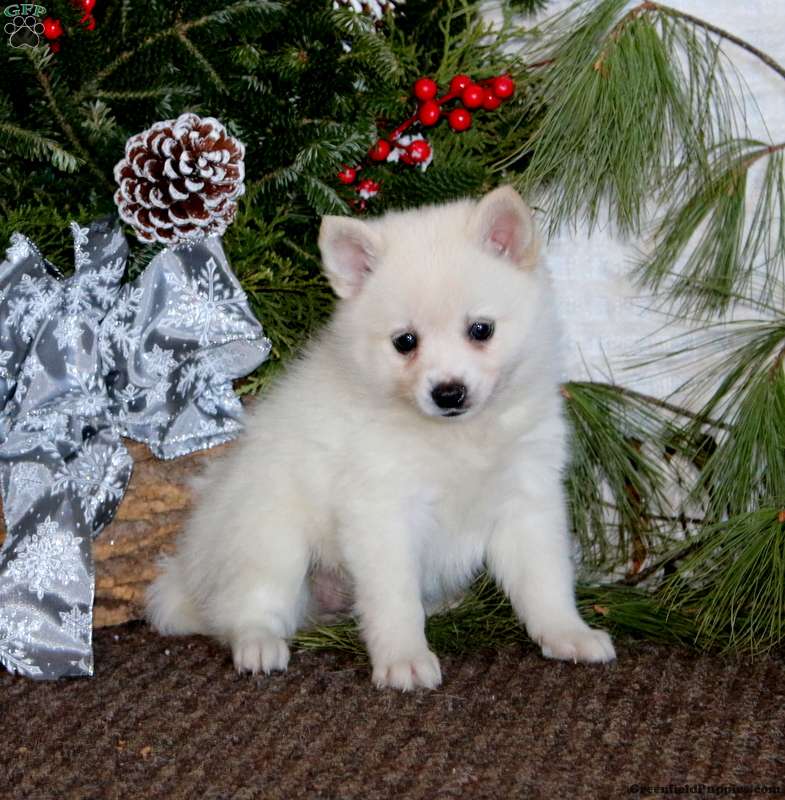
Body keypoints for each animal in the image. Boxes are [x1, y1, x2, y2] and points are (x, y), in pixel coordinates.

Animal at [146, 186, 616, 690]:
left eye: (481, 330)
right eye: (404, 342)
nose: (448, 392)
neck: (458, 437)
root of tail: (187, 571)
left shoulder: (527, 499)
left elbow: (546, 582)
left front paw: (569, 633)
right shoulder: (382, 511)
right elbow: (394, 599)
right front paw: (404, 657)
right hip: (271, 536)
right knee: (247, 605)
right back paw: (257, 643)